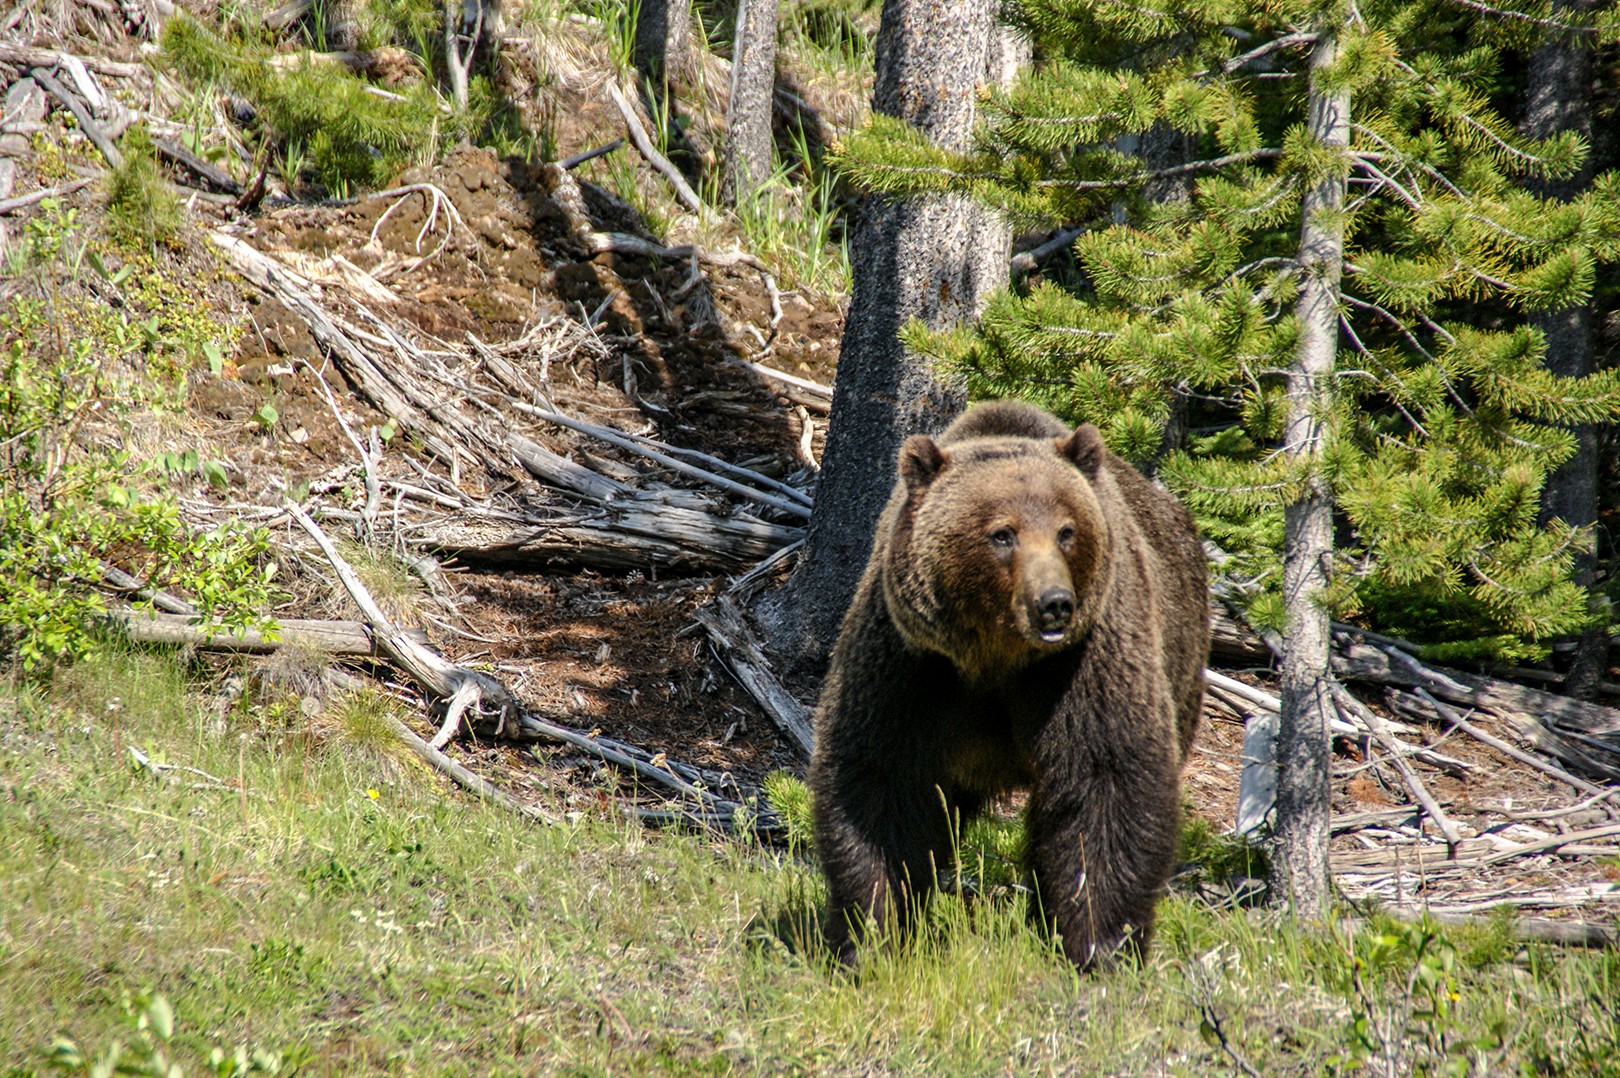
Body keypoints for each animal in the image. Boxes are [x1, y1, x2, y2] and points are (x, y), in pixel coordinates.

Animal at [806, 397, 1205, 966]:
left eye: (1066, 530)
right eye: (1002, 533)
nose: (1054, 603)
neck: (998, 657)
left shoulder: (1084, 662)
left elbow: (1107, 779)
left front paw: (1099, 942)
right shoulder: (910, 664)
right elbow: (881, 780)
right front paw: (873, 932)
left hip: (1181, 659)